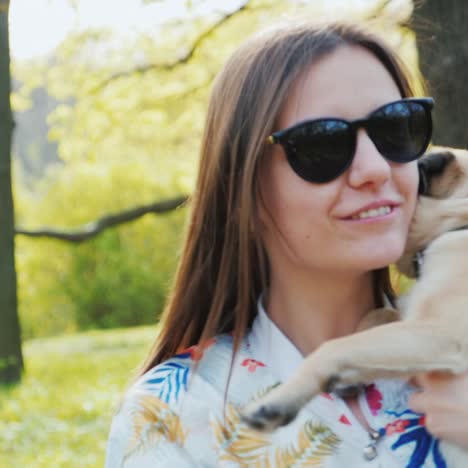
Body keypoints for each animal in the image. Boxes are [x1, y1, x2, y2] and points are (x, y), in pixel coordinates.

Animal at [241, 146, 468, 464]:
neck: (459, 222)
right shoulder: (413, 322)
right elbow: (376, 315)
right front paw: (349, 379)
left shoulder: (440, 334)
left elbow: (333, 348)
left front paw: (277, 401)